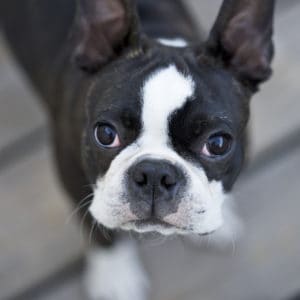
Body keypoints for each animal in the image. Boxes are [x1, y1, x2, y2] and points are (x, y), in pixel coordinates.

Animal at [0, 0, 276, 298]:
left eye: (217, 144)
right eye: (106, 134)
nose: (155, 174)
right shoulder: (72, 176)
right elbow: (100, 231)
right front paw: (115, 275)